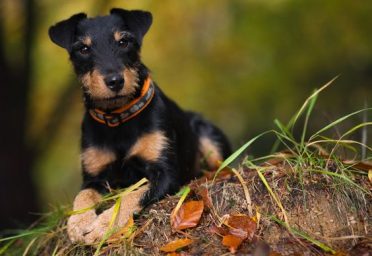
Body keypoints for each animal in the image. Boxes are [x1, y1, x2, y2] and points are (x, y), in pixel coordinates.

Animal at [48, 8, 231, 244]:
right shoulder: (94, 178)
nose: (115, 81)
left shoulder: (166, 174)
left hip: (209, 137)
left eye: (124, 41)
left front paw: (103, 226)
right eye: (83, 48)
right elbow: (83, 196)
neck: (118, 118)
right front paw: (78, 223)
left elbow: (133, 194)